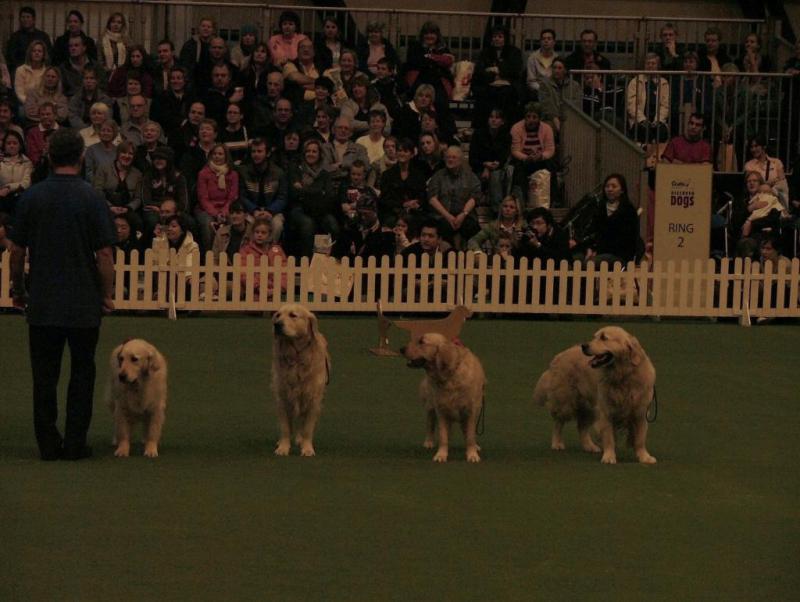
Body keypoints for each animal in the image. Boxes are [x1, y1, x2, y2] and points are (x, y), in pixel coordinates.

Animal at [270, 304, 330, 454]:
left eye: (293, 315)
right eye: (278, 315)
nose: (277, 325)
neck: (296, 356)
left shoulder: (312, 399)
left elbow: (307, 428)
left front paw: (307, 448)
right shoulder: (283, 398)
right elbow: (285, 427)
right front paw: (283, 447)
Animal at [404, 330, 484, 462]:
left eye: (421, 342)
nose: (401, 349)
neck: (450, 375)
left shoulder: (470, 411)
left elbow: (470, 435)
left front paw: (472, 454)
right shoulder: (441, 410)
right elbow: (443, 436)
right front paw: (441, 455)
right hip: (430, 406)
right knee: (430, 424)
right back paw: (429, 442)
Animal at [532, 326, 656, 462]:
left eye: (603, 337)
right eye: (595, 337)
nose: (584, 346)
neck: (623, 376)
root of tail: (560, 355)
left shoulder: (640, 412)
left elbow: (640, 439)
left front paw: (644, 457)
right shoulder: (606, 411)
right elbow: (609, 437)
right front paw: (609, 456)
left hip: (590, 407)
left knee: (581, 427)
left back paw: (589, 446)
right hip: (565, 401)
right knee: (559, 423)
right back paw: (557, 443)